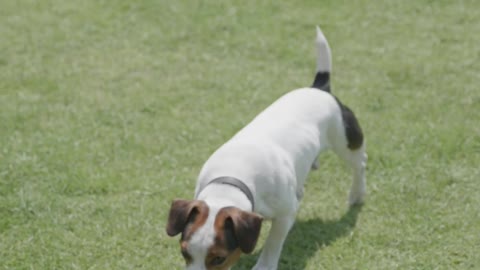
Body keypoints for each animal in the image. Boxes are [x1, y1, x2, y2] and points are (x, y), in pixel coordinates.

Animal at [167, 25, 366, 270]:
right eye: (184, 252)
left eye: (219, 258)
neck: (231, 179)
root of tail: (320, 88)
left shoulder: (284, 215)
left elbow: (273, 241)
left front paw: (264, 265)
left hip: (346, 139)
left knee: (359, 163)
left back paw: (357, 193)